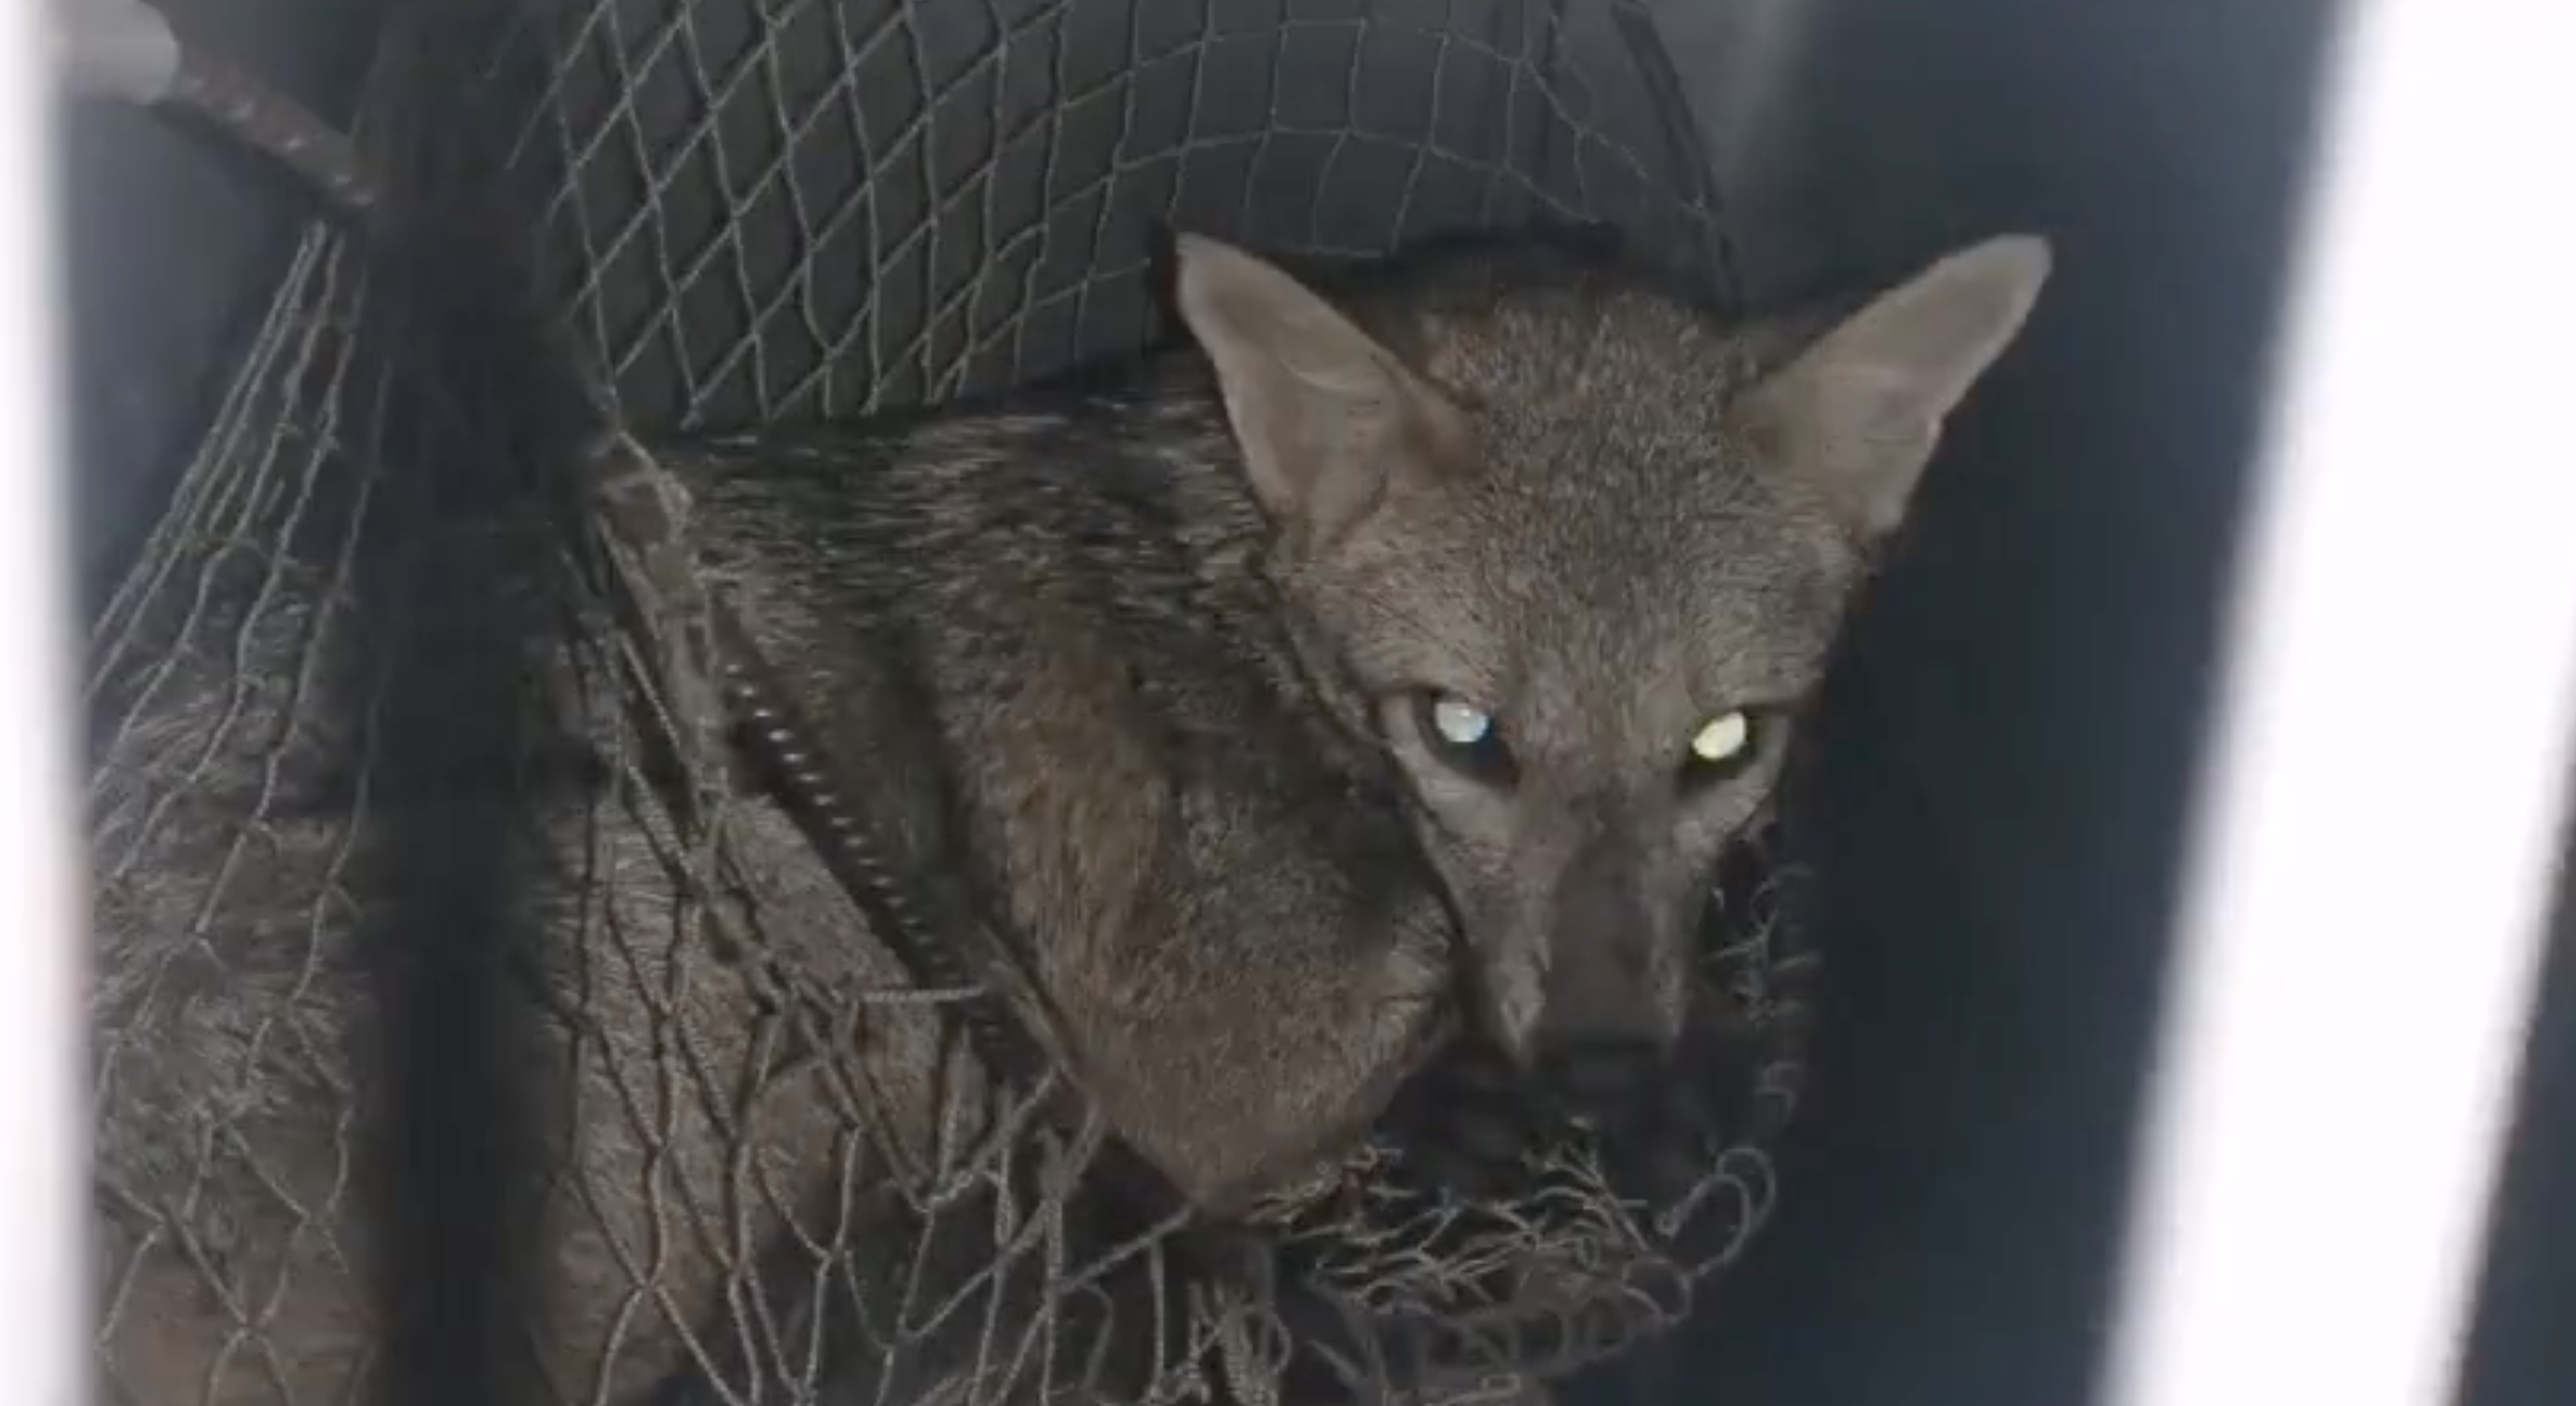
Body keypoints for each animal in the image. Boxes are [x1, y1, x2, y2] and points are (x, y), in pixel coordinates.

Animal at [88, 222, 2050, 1406]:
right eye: (1465, 734)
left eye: (1725, 742)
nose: (1603, 1066)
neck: (1233, 594)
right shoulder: (1199, 1056)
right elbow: (1407, 1006)